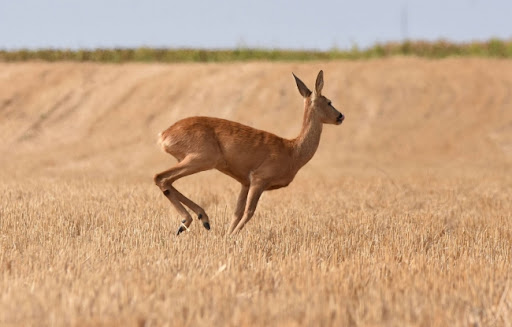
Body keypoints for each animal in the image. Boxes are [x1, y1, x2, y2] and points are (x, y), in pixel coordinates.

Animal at [152, 71, 344, 236]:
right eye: (329, 101)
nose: (341, 116)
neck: (292, 150)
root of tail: (165, 134)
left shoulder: (245, 183)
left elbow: (236, 213)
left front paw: (226, 236)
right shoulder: (259, 180)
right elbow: (249, 212)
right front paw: (231, 238)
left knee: (167, 181)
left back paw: (199, 220)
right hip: (201, 160)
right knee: (161, 177)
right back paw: (191, 221)